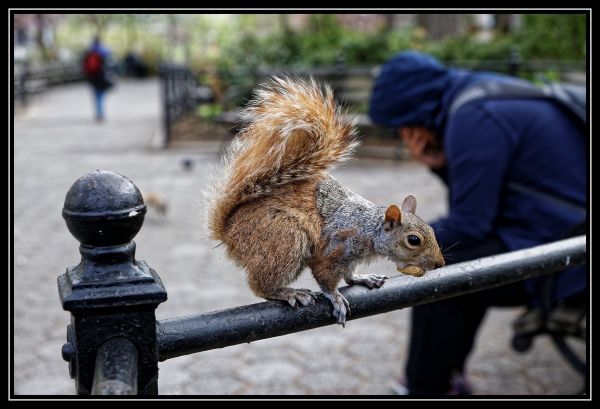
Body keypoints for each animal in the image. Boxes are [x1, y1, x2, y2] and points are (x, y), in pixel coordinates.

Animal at [206, 75, 446, 326]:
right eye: (413, 240)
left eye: (431, 230)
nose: (439, 264)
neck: (368, 229)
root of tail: (228, 232)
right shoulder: (334, 249)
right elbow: (326, 278)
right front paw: (336, 298)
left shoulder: (350, 258)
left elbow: (348, 274)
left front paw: (361, 278)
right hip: (285, 239)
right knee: (260, 285)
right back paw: (289, 292)